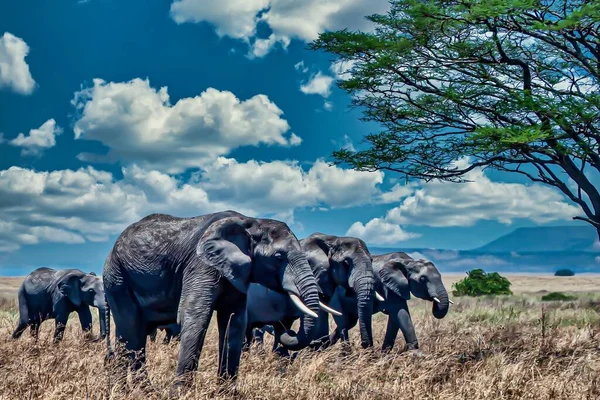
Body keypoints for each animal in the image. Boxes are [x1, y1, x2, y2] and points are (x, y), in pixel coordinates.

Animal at [104, 209, 328, 388]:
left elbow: (234, 323)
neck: (251, 222)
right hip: (117, 279)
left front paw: (226, 393)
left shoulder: (236, 274)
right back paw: (138, 391)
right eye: (279, 257)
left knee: (131, 334)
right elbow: (195, 317)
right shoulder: (201, 265)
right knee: (131, 333)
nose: (288, 329)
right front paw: (180, 394)